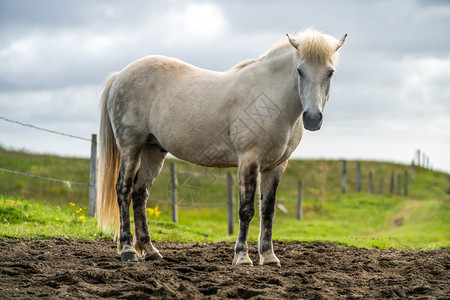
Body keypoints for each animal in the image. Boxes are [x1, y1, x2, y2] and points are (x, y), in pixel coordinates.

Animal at [96, 29, 346, 266]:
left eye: (330, 72)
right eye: (300, 70)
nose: (312, 118)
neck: (269, 99)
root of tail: (121, 75)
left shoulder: (276, 166)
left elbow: (268, 211)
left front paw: (269, 257)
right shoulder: (248, 160)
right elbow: (246, 210)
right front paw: (242, 257)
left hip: (153, 150)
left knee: (140, 195)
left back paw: (150, 251)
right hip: (131, 146)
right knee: (123, 190)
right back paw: (128, 250)